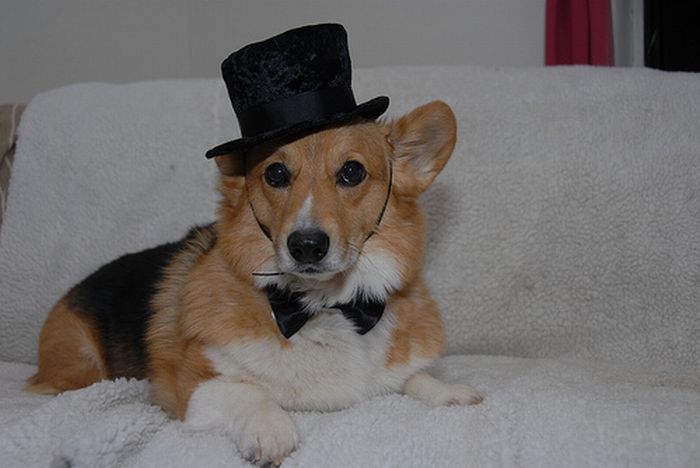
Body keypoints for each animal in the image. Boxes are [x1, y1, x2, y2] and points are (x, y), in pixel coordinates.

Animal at [24, 23, 482, 466]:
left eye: (352, 172)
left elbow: (413, 377)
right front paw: (270, 430)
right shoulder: (194, 386)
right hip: (81, 366)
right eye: (275, 174)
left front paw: (448, 391)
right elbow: (249, 389)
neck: (319, 306)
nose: (306, 245)